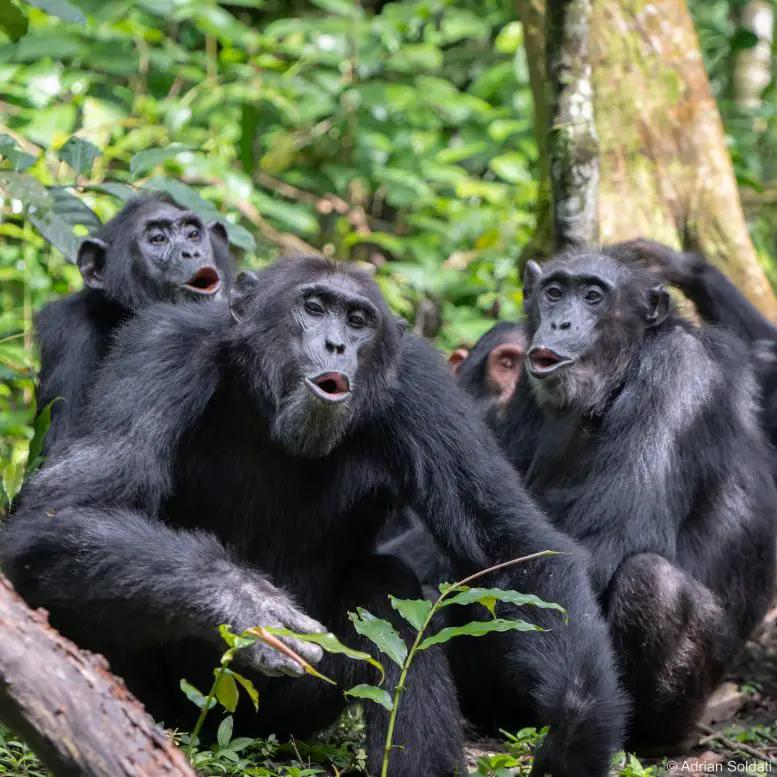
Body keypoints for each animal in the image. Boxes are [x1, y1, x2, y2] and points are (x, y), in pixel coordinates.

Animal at [1, 256, 624, 776]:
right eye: (315, 307)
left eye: (359, 320)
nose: (336, 343)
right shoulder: (161, 349)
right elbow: (69, 506)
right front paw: (245, 604)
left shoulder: (422, 386)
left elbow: (511, 544)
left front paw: (579, 734)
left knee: (385, 586)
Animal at [492, 252, 776, 748]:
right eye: (554, 292)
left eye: (593, 295)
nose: (561, 322)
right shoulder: (525, 390)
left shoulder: (678, 378)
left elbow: (609, 542)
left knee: (650, 579)